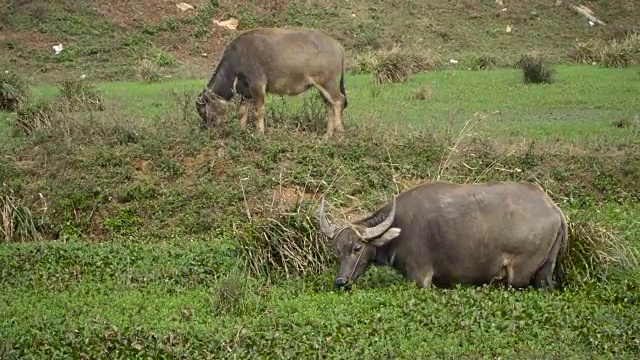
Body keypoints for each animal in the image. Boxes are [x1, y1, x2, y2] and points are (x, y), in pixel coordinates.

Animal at [196, 26, 350, 139]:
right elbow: (242, 112)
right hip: (322, 87)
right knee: (329, 106)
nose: (209, 128)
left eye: (204, 111)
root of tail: (337, 45)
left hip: (327, 82)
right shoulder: (245, 93)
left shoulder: (257, 85)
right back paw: (327, 135)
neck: (237, 60)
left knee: (338, 101)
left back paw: (340, 133)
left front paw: (260, 134)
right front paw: (241, 130)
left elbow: (258, 112)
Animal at [318, 181, 568, 292]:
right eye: (338, 251)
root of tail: (552, 207)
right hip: (544, 273)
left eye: (358, 248)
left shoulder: (420, 277)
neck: (400, 227)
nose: (340, 282)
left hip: (518, 276)